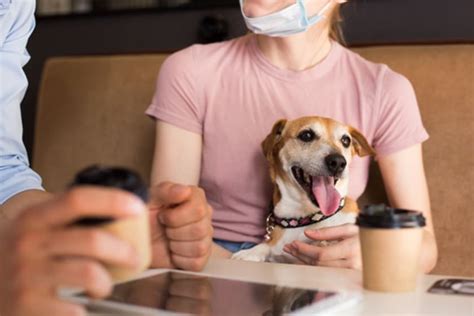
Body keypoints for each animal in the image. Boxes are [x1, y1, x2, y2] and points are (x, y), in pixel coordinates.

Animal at [232, 115, 374, 262]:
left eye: (346, 140)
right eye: (306, 135)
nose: (338, 162)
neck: (308, 217)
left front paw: (325, 243)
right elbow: (267, 246)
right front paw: (250, 252)